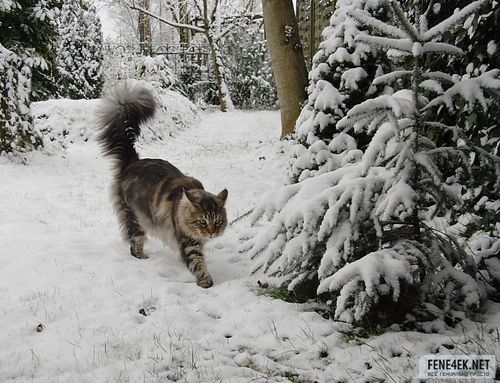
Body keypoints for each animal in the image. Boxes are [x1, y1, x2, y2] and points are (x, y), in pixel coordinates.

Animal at [96, 82, 229, 290]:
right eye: (202, 222)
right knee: (134, 243)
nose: (211, 233)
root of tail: (133, 162)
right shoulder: (188, 243)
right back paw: (142, 257)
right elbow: (197, 262)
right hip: (135, 218)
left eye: (217, 222)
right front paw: (205, 281)